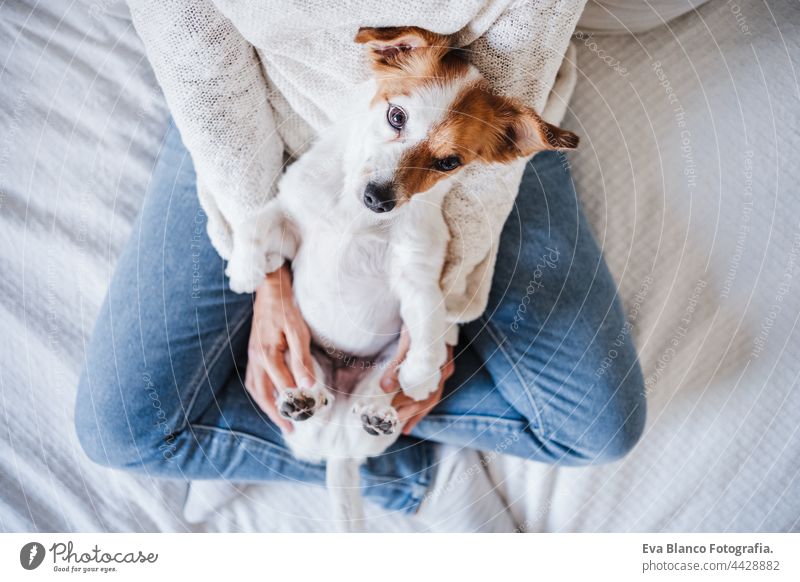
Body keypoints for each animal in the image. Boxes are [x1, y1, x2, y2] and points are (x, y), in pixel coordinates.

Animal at [222, 26, 580, 528]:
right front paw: (245, 268)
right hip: (301, 354)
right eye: (396, 117)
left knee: (362, 407)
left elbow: (428, 322)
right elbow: (258, 221)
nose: (378, 198)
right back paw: (305, 399)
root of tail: (339, 446)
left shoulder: (416, 276)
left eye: (449, 162)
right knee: (314, 404)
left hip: (375, 374)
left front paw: (421, 373)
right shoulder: (294, 218)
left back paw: (377, 414)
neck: (357, 218)